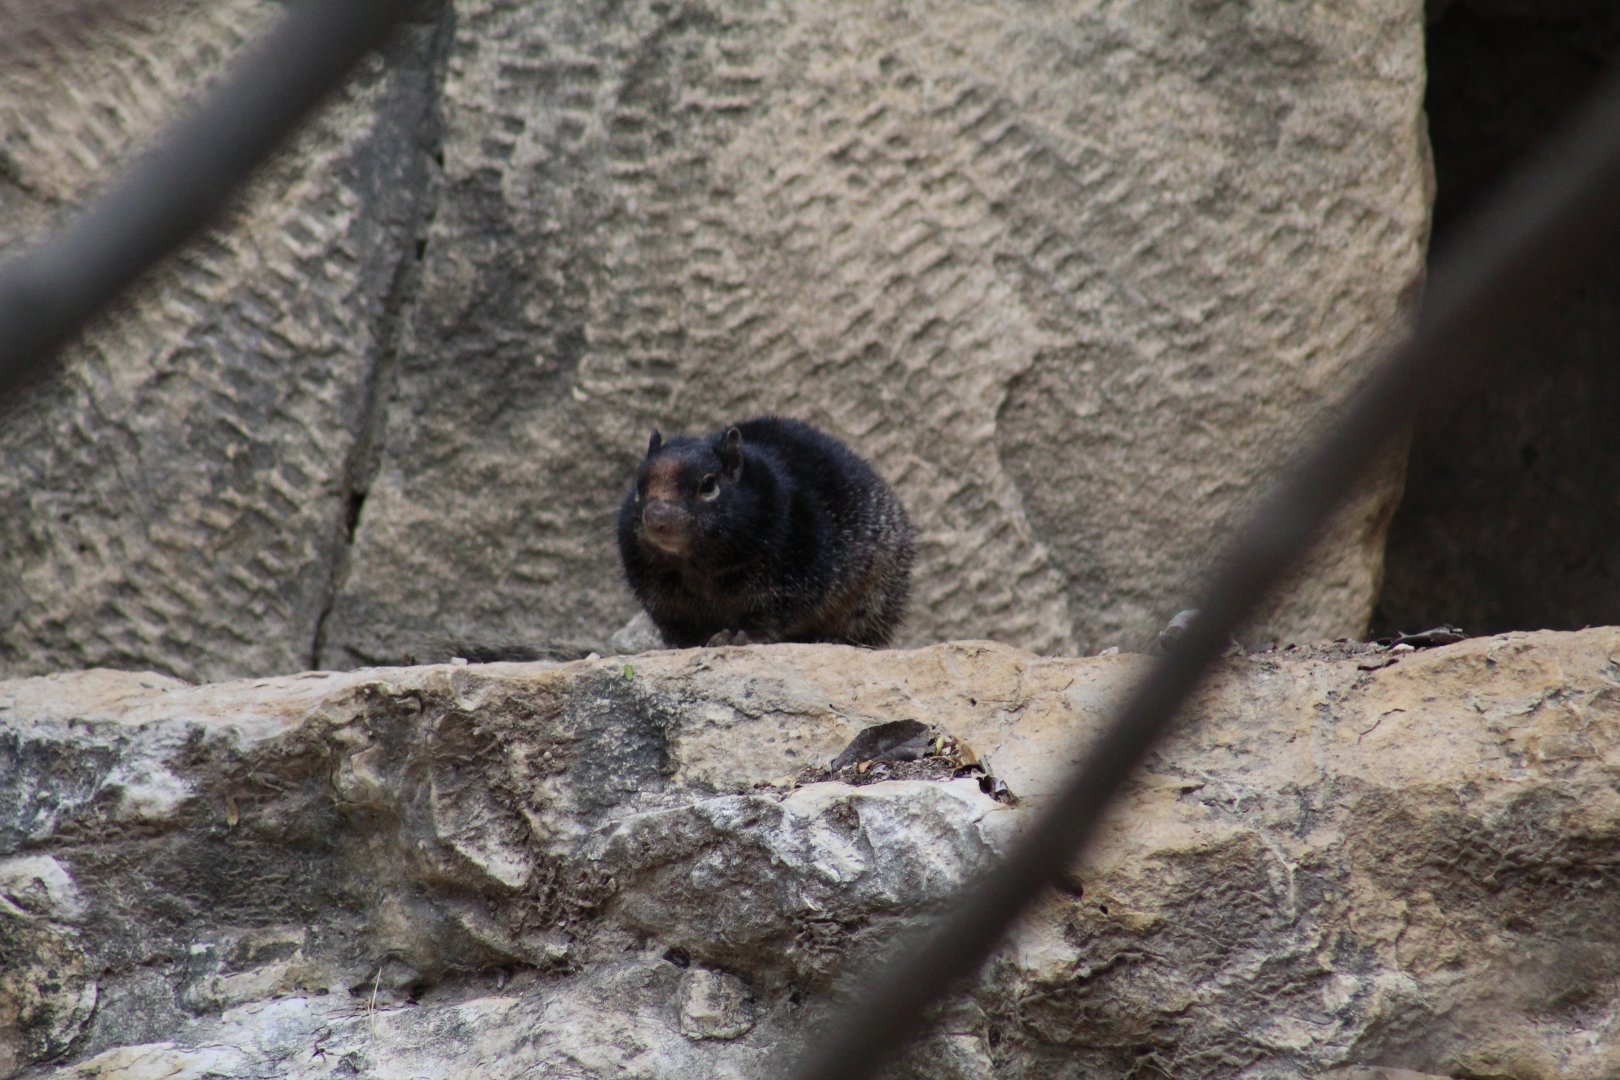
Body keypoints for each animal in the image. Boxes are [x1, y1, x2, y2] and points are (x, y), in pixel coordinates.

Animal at [617, 416, 915, 648]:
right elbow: (678, 622)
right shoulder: (658, 590)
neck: (697, 562)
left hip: (875, 597)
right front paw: (687, 643)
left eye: (708, 485)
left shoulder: (791, 570)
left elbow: (769, 610)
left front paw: (739, 636)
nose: (656, 518)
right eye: (639, 488)